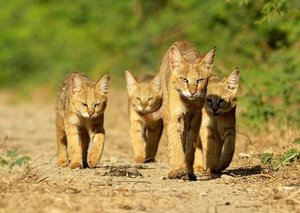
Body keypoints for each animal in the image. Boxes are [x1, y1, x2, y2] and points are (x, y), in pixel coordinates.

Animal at [159, 41, 216, 180]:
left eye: (200, 80)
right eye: (184, 79)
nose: (193, 92)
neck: (188, 103)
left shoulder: (195, 117)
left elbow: (190, 148)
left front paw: (189, 172)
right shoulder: (175, 117)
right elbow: (176, 145)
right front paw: (179, 169)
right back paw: (173, 170)